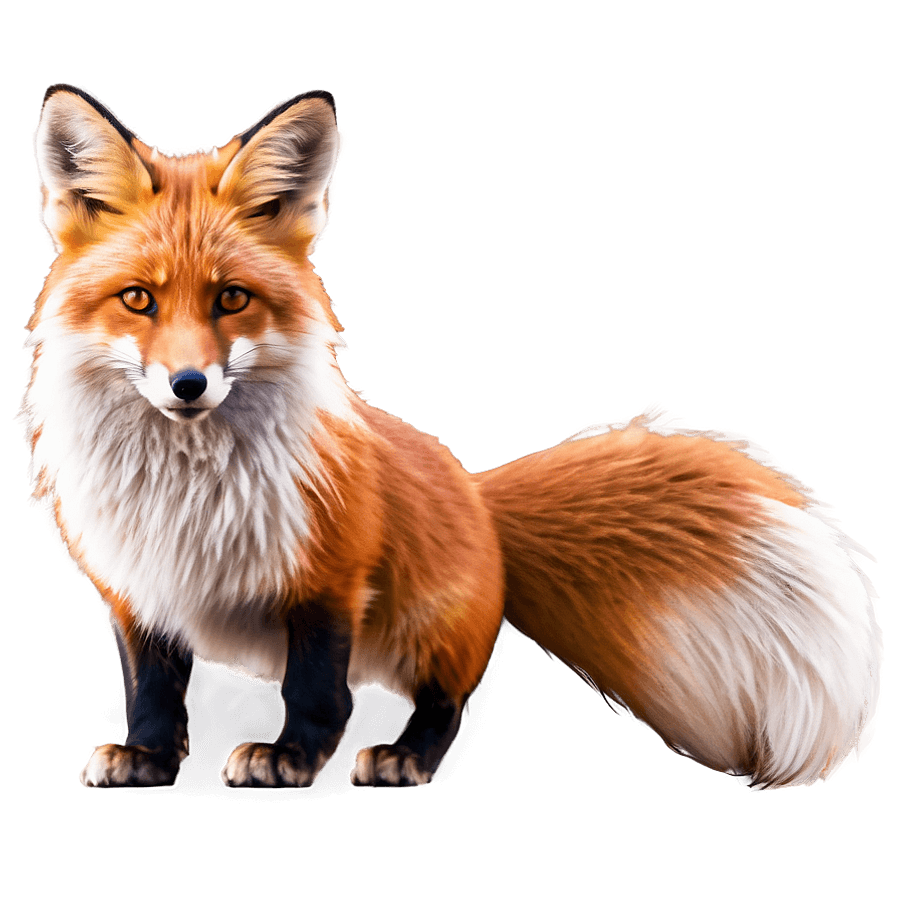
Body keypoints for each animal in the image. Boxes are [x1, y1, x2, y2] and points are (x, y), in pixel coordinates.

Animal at [20, 83, 882, 792]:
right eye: (138, 299)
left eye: (231, 299)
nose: (188, 385)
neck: (186, 490)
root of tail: (475, 493)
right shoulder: (135, 587)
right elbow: (155, 687)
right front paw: (149, 757)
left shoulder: (331, 576)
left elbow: (316, 690)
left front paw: (292, 756)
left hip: (433, 628)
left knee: (446, 697)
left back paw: (408, 755)